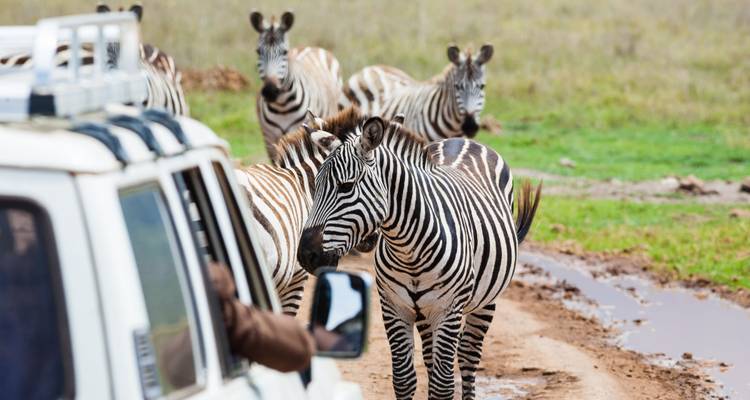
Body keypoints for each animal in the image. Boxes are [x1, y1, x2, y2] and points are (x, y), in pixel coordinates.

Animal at [249, 10, 342, 159]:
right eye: (258, 51)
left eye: (284, 52)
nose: (270, 91)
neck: (282, 107)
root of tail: (309, 46)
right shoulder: (269, 139)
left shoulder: (299, 130)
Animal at [297, 111, 541, 399]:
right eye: (315, 186)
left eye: (346, 187)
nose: (306, 255)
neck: (409, 250)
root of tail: (463, 140)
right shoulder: (394, 307)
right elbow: (404, 378)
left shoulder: (448, 310)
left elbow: (443, 385)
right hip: (425, 313)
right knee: (431, 358)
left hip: (485, 300)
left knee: (468, 357)